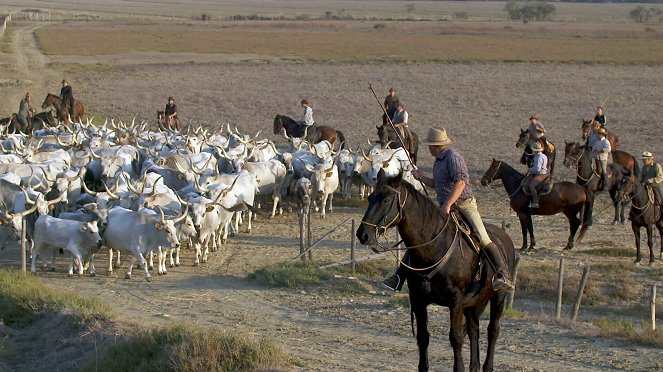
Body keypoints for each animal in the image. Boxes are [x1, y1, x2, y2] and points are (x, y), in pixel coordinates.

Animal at [358, 169, 512, 372]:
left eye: (386, 199)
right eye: (370, 198)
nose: (363, 234)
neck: (435, 247)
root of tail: (505, 238)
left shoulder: (456, 302)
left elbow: (456, 338)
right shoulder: (418, 300)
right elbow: (423, 338)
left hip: (498, 297)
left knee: (493, 330)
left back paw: (488, 366)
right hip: (474, 302)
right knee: (474, 329)